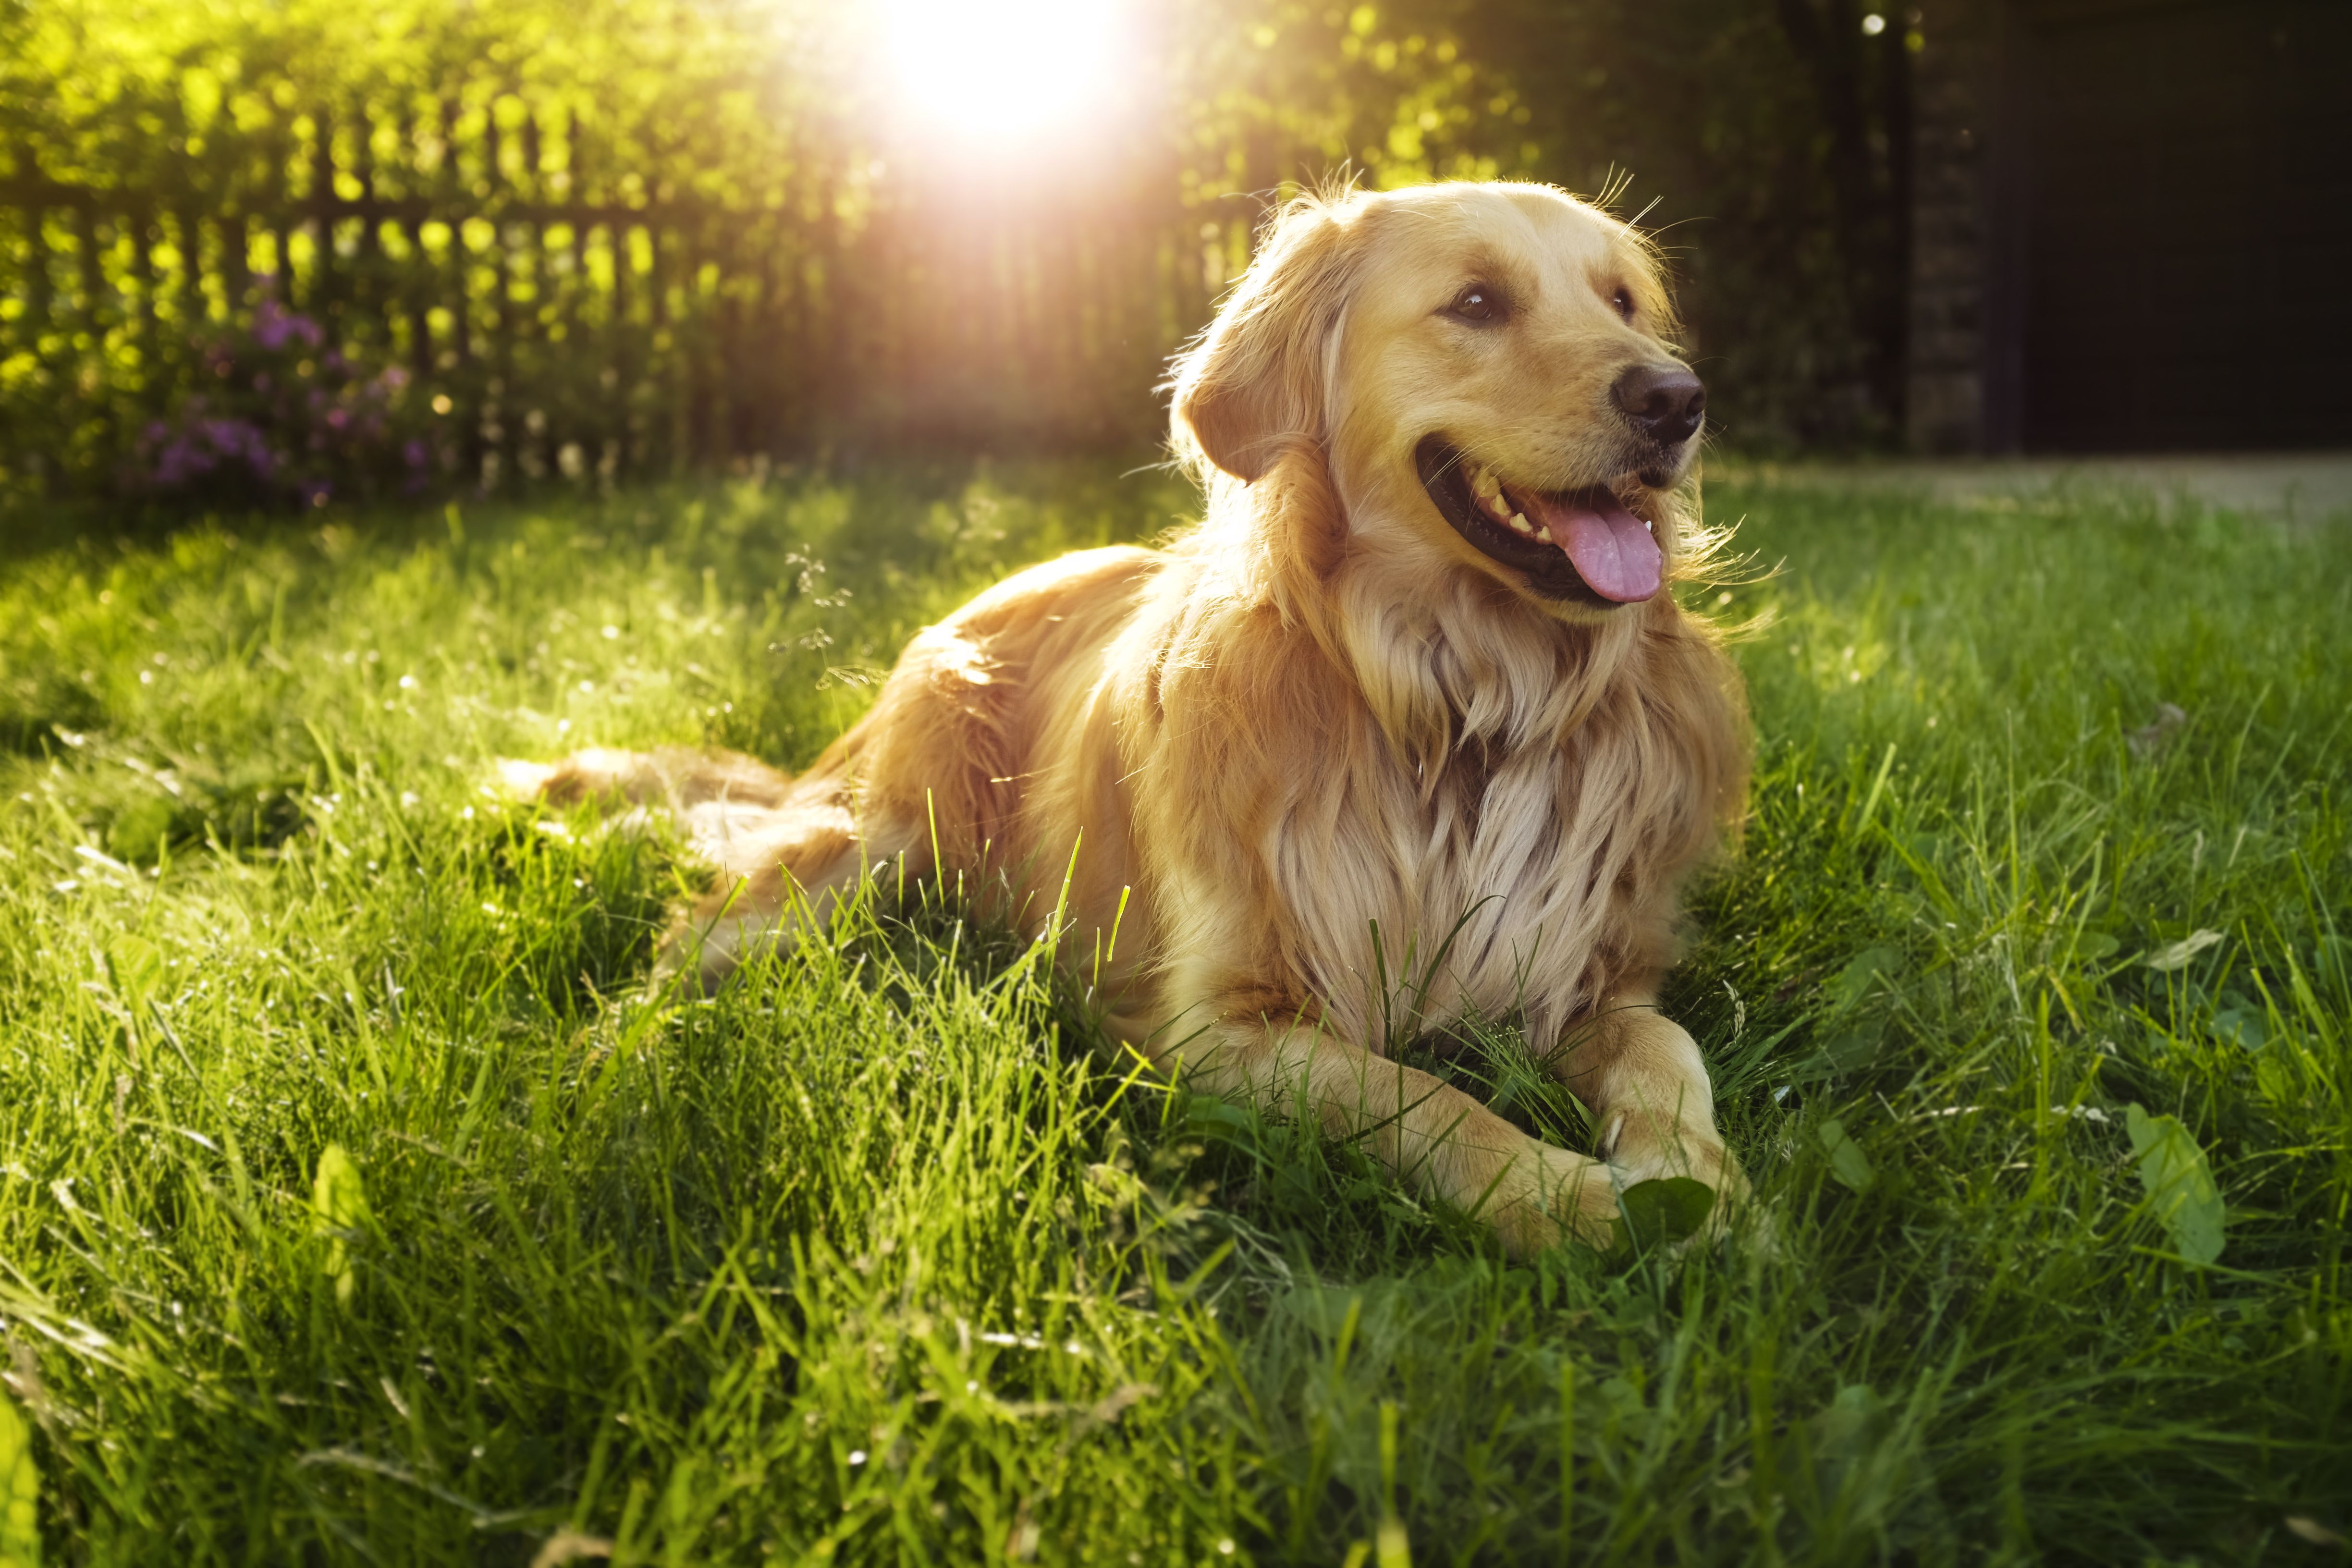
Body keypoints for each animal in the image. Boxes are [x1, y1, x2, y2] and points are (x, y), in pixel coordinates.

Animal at [510, 184, 1750, 1260]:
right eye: (1479, 303)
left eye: (1622, 301)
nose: (1677, 401)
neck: (1457, 707)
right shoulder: (1221, 1026)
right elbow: (1424, 1098)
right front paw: (1570, 1199)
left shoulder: (1591, 973)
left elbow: (1668, 1051)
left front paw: (1697, 1181)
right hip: (870, 849)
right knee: (676, 955)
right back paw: (592, 1080)